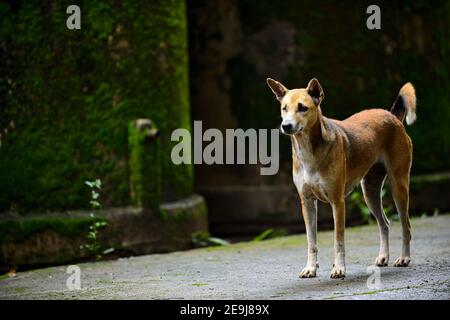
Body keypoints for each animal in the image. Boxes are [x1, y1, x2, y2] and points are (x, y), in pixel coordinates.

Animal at [266, 77, 416, 278]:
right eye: (284, 108)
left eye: (302, 108)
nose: (286, 126)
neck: (309, 150)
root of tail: (392, 117)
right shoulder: (307, 203)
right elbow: (311, 241)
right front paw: (310, 268)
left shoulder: (337, 202)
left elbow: (338, 240)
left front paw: (339, 268)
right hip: (370, 192)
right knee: (384, 224)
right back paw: (383, 257)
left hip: (399, 186)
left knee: (406, 225)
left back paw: (404, 258)